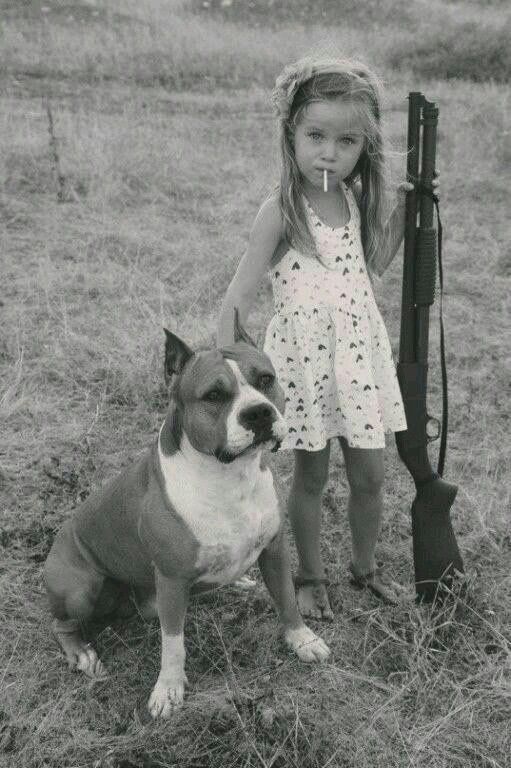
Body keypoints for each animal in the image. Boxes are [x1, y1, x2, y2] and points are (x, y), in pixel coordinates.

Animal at [44, 316, 330, 718]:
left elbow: (287, 598)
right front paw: (168, 689)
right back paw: (81, 652)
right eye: (213, 396)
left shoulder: (275, 549)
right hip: (80, 589)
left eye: (265, 379)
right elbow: (174, 643)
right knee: (61, 623)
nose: (258, 412)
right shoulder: (171, 578)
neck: (230, 477)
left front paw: (301, 639)